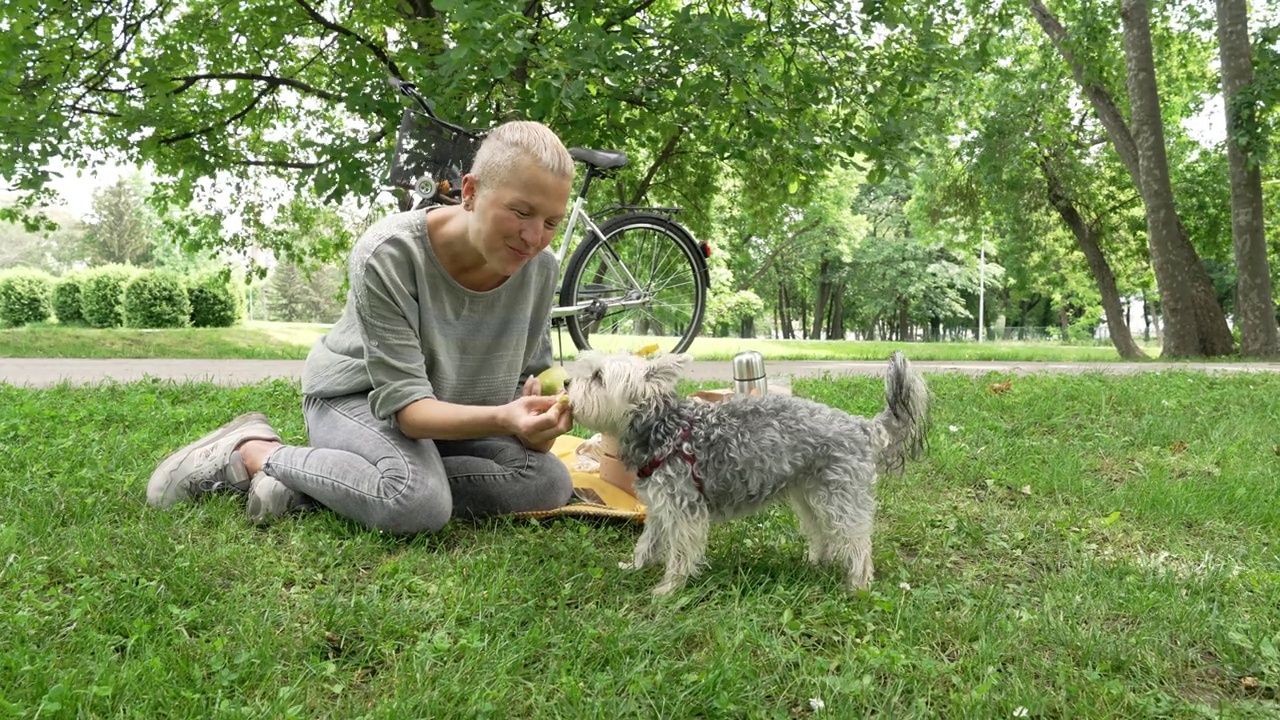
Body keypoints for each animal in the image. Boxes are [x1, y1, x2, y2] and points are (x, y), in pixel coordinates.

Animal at [570, 348, 931, 594]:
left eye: (598, 376)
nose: (565, 381)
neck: (665, 429)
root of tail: (861, 426)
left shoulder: (684, 511)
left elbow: (679, 555)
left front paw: (668, 589)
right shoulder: (662, 507)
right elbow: (647, 543)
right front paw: (634, 566)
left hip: (841, 499)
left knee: (857, 543)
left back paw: (858, 585)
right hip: (811, 496)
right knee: (822, 533)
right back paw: (815, 562)